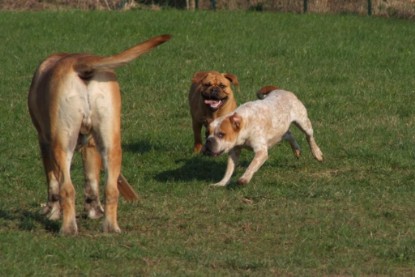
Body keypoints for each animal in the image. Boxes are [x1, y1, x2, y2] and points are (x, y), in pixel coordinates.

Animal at [28, 34, 171, 233]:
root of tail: (83, 62)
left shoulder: (44, 142)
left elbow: (52, 184)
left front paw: (52, 212)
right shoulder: (91, 145)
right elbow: (92, 180)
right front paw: (94, 211)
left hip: (62, 145)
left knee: (67, 189)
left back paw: (68, 229)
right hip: (111, 145)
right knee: (110, 189)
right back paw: (110, 227)